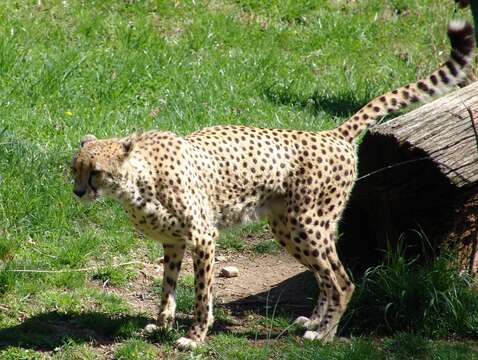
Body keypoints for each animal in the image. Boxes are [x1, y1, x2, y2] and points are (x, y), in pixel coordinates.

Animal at [71, 20, 474, 348]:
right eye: (74, 169)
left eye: (96, 171)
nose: (77, 192)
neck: (137, 181)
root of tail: (332, 134)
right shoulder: (173, 241)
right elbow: (167, 285)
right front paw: (161, 324)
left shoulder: (203, 237)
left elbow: (201, 293)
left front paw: (194, 337)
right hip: (288, 226)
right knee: (325, 277)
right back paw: (313, 321)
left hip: (306, 224)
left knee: (342, 280)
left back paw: (324, 334)